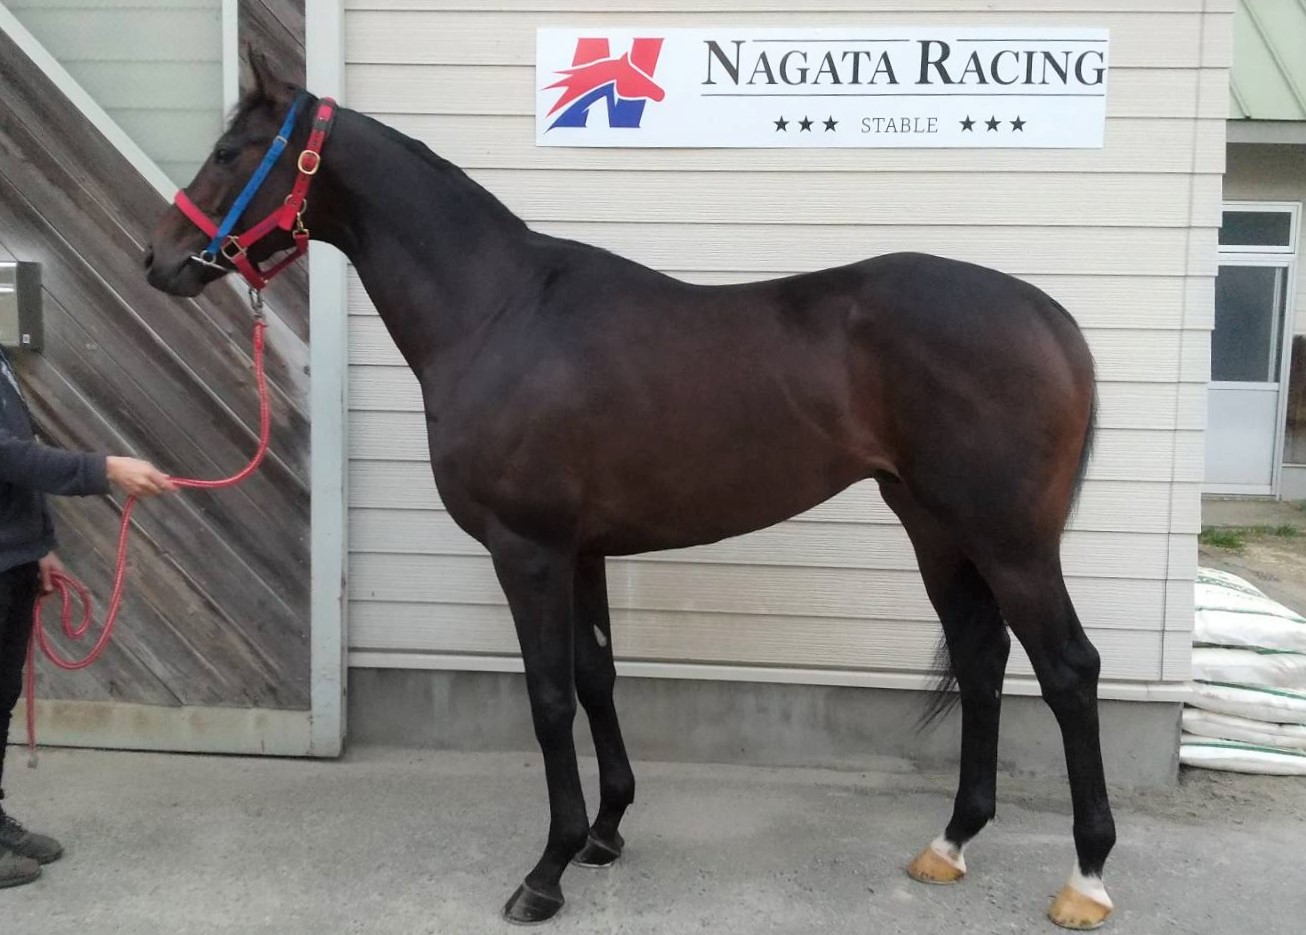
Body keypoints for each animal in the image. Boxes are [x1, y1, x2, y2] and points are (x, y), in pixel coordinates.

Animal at [145, 53, 1115, 931]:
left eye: (230, 150)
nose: (158, 259)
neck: (500, 313)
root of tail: (1049, 318)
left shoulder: (528, 550)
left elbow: (547, 700)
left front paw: (546, 870)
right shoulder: (581, 552)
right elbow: (596, 675)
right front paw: (605, 831)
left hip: (1010, 539)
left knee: (1068, 669)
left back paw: (1086, 878)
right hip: (934, 527)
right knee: (984, 658)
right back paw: (950, 843)